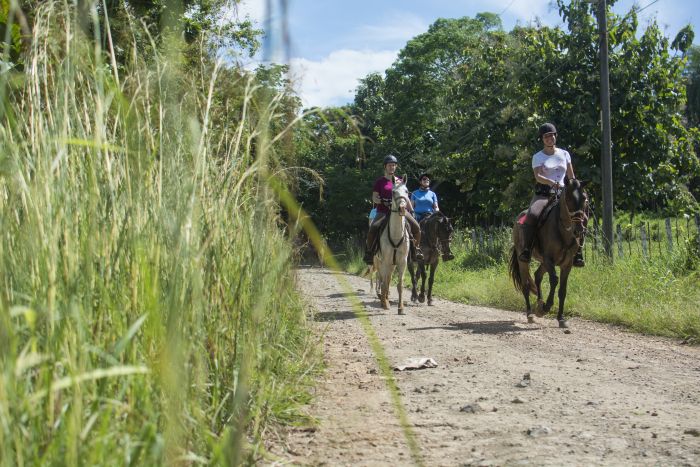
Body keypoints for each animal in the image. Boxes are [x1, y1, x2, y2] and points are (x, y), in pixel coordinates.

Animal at [506, 179, 588, 330]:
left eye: (584, 198)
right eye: (568, 198)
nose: (579, 229)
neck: (563, 230)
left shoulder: (566, 264)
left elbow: (562, 290)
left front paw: (561, 319)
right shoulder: (549, 259)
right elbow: (554, 280)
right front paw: (546, 307)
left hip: (544, 262)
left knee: (537, 275)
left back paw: (539, 302)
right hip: (524, 260)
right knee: (526, 284)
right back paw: (531, 314)